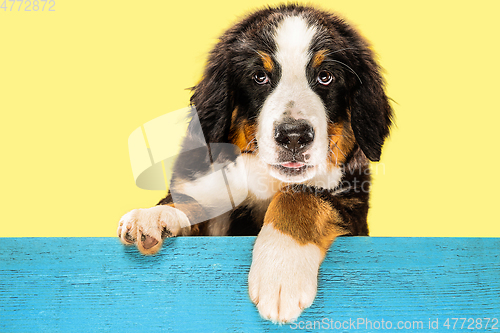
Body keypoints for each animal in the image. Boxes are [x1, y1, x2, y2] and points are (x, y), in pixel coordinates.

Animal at [118, 3, 394, 322]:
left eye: (326, 76)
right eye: (260, 77)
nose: (294, 136)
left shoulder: (351, 202)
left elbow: (301, 196)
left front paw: (281, 269)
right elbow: (189, 202)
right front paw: (154, 216)